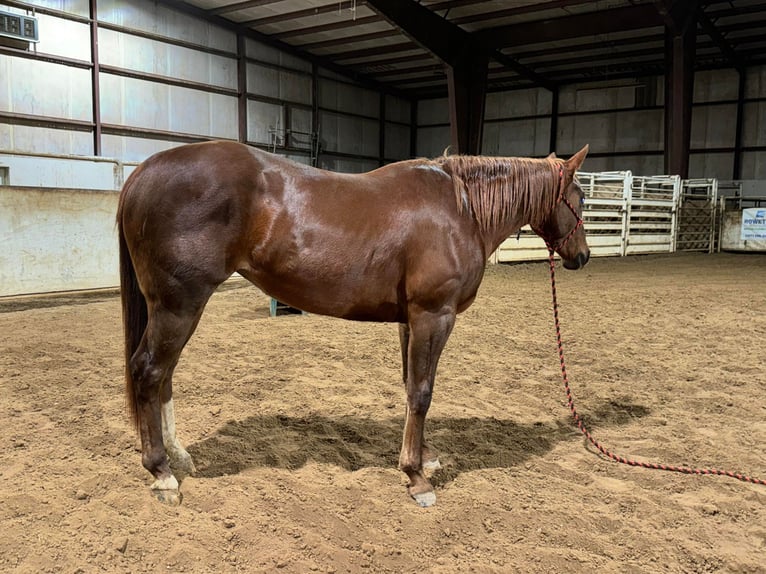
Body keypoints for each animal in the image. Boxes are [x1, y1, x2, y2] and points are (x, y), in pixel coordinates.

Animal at [117, 141, 592, 508]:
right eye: (582, 197)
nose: (583, 256)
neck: (460, 209)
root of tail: (143, 172)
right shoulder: (433, 314)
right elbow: (422, 392)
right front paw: (416, 477)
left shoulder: (411, 320)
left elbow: (411, 387)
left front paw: (425, 456)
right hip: (179, 305)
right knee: (149, 372)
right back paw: (162, 473)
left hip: (177, 308)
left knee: (164, 376)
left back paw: (179, 457)